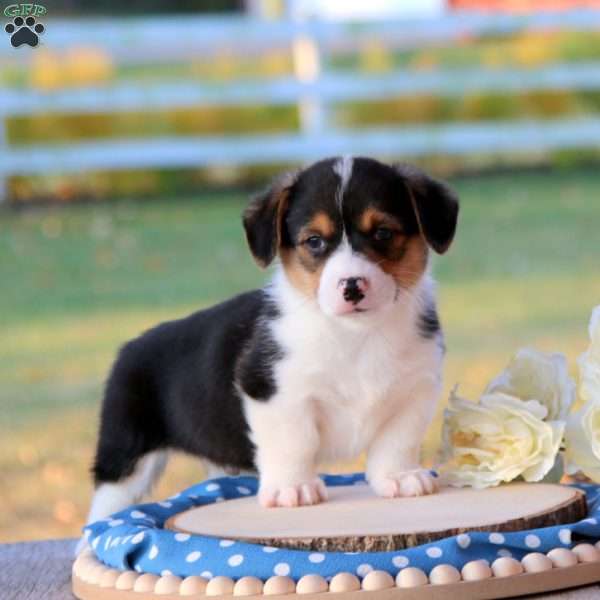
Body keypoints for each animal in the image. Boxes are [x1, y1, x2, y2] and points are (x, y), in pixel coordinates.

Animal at [84, 157, 460, 528]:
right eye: (314, 241)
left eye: (383, 233)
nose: (352, 287)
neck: (357, 334)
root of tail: (130, 347)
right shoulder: (274, 393)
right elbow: (294, 442)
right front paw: (292, 489)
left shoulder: (415, 391)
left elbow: (396, 441)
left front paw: (400, 477)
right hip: (124, 458)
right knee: (105, 507)